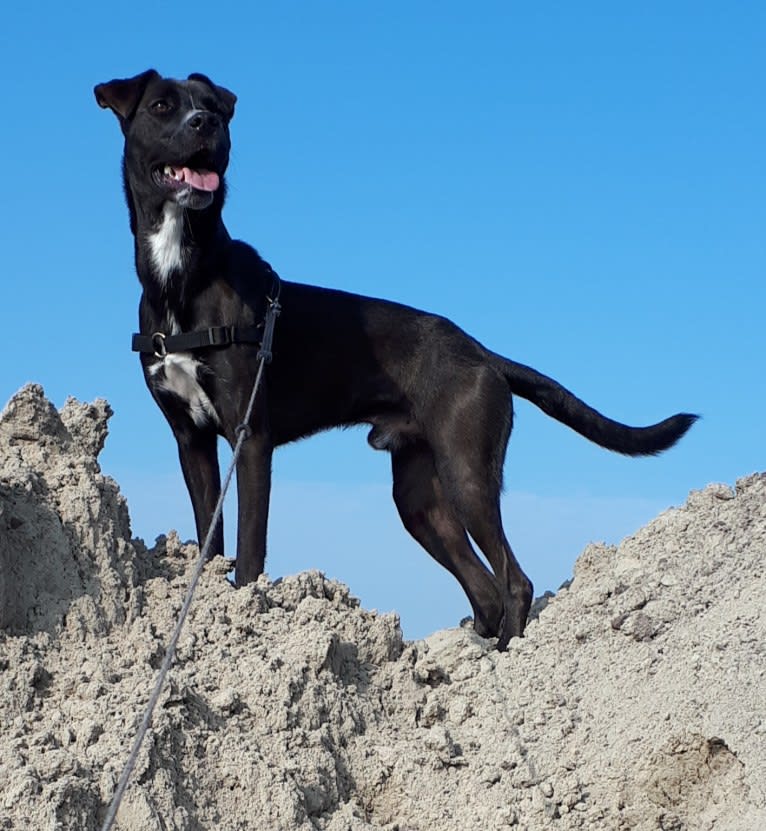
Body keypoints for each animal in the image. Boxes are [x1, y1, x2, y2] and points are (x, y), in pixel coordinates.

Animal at [94, 71, 696, 648]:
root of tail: (482, 352)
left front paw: (244, 605)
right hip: (419, 497)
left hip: (467, 473)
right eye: (163, 107)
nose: (206, 126)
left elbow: (249, 547)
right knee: (485, 589)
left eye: (212, 109)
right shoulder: (190, 440)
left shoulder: (252, 437)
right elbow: (210, 539)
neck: (182, 275)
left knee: (514, 581)